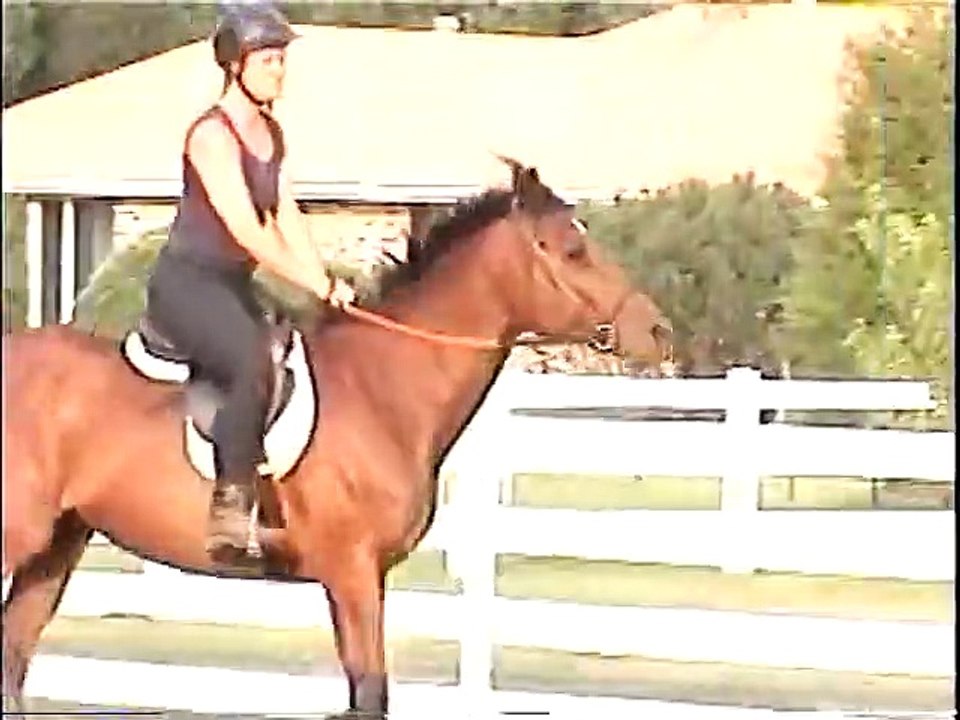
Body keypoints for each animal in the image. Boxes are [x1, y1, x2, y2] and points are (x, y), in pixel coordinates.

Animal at [1, 156, 673, 717]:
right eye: (573, 251)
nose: (658, 331)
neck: (383, 387)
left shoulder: (361, 577)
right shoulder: (352, 572)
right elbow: (370, 693)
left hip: (57, 545)